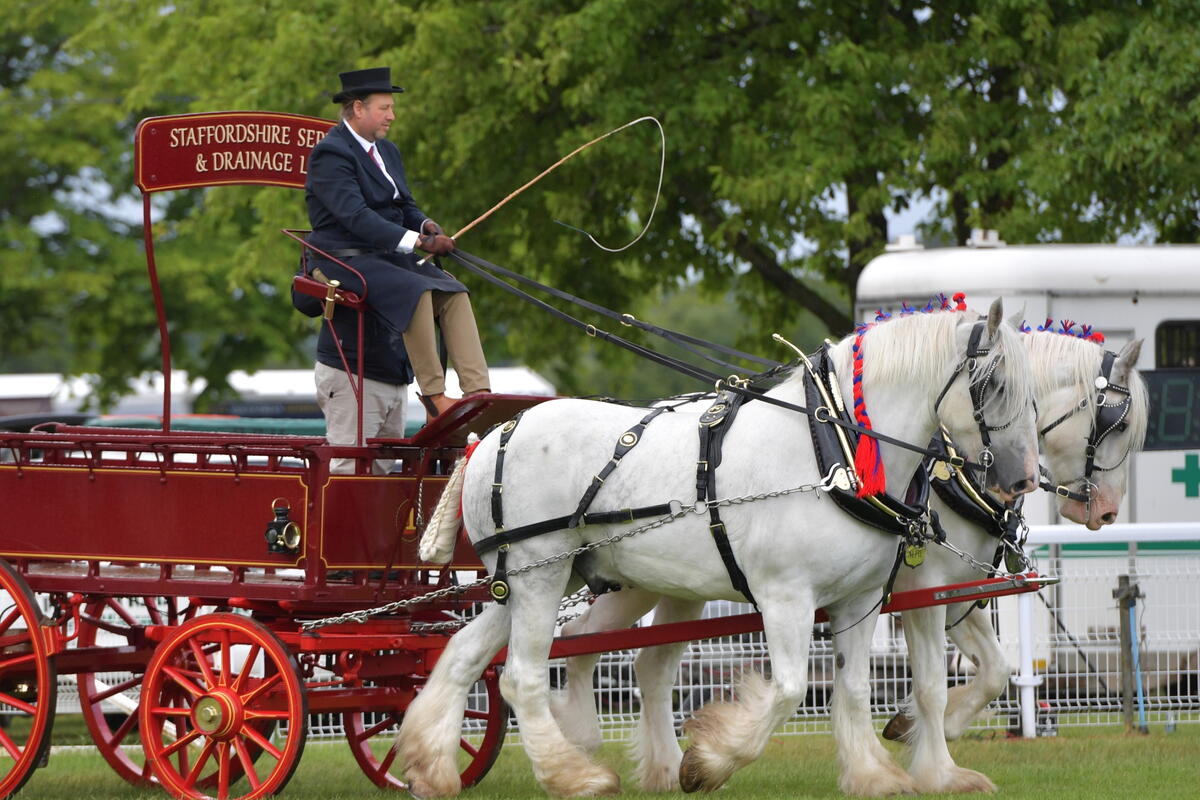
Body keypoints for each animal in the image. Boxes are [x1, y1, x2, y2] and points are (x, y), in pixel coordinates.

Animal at [399, 299, 1039, 797]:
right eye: (993, 384)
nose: (1022, 479)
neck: (829, 445)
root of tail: (488, 438)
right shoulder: (787, 597)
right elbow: (789, 689)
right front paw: (707, 764)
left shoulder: (860, 600)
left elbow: (855, 689)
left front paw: (872, 776)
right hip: (538, 575)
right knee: (522, 677)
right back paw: (573, 776)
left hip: (535, 579)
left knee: (463, 654)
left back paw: (430, 766)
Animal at [546, 330, 1148, 795]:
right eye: (1118, 423)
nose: (1106, 509)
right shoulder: (923, 593)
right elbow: (932, 681)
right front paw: (934, 761)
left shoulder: (950, 593)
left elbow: (996, 669)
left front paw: (915, 730)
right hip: (638, 583)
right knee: (584, 643)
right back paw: (585, 746)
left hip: (668, 584)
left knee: (635, 659)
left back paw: (652, 765)